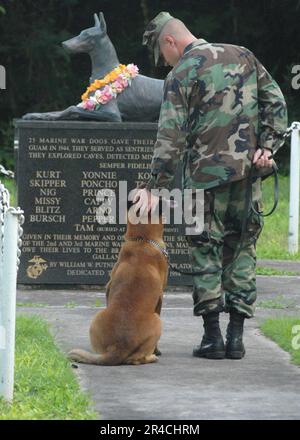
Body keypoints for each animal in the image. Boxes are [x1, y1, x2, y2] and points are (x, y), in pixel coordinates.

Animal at [68, 208, 168, 366]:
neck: (142, 240)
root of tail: (119, 347)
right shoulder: (161, 298)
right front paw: (157, 351)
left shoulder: (108, 289)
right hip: (157, 321)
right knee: (136, 359)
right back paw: (152, 356)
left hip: (96, 318)